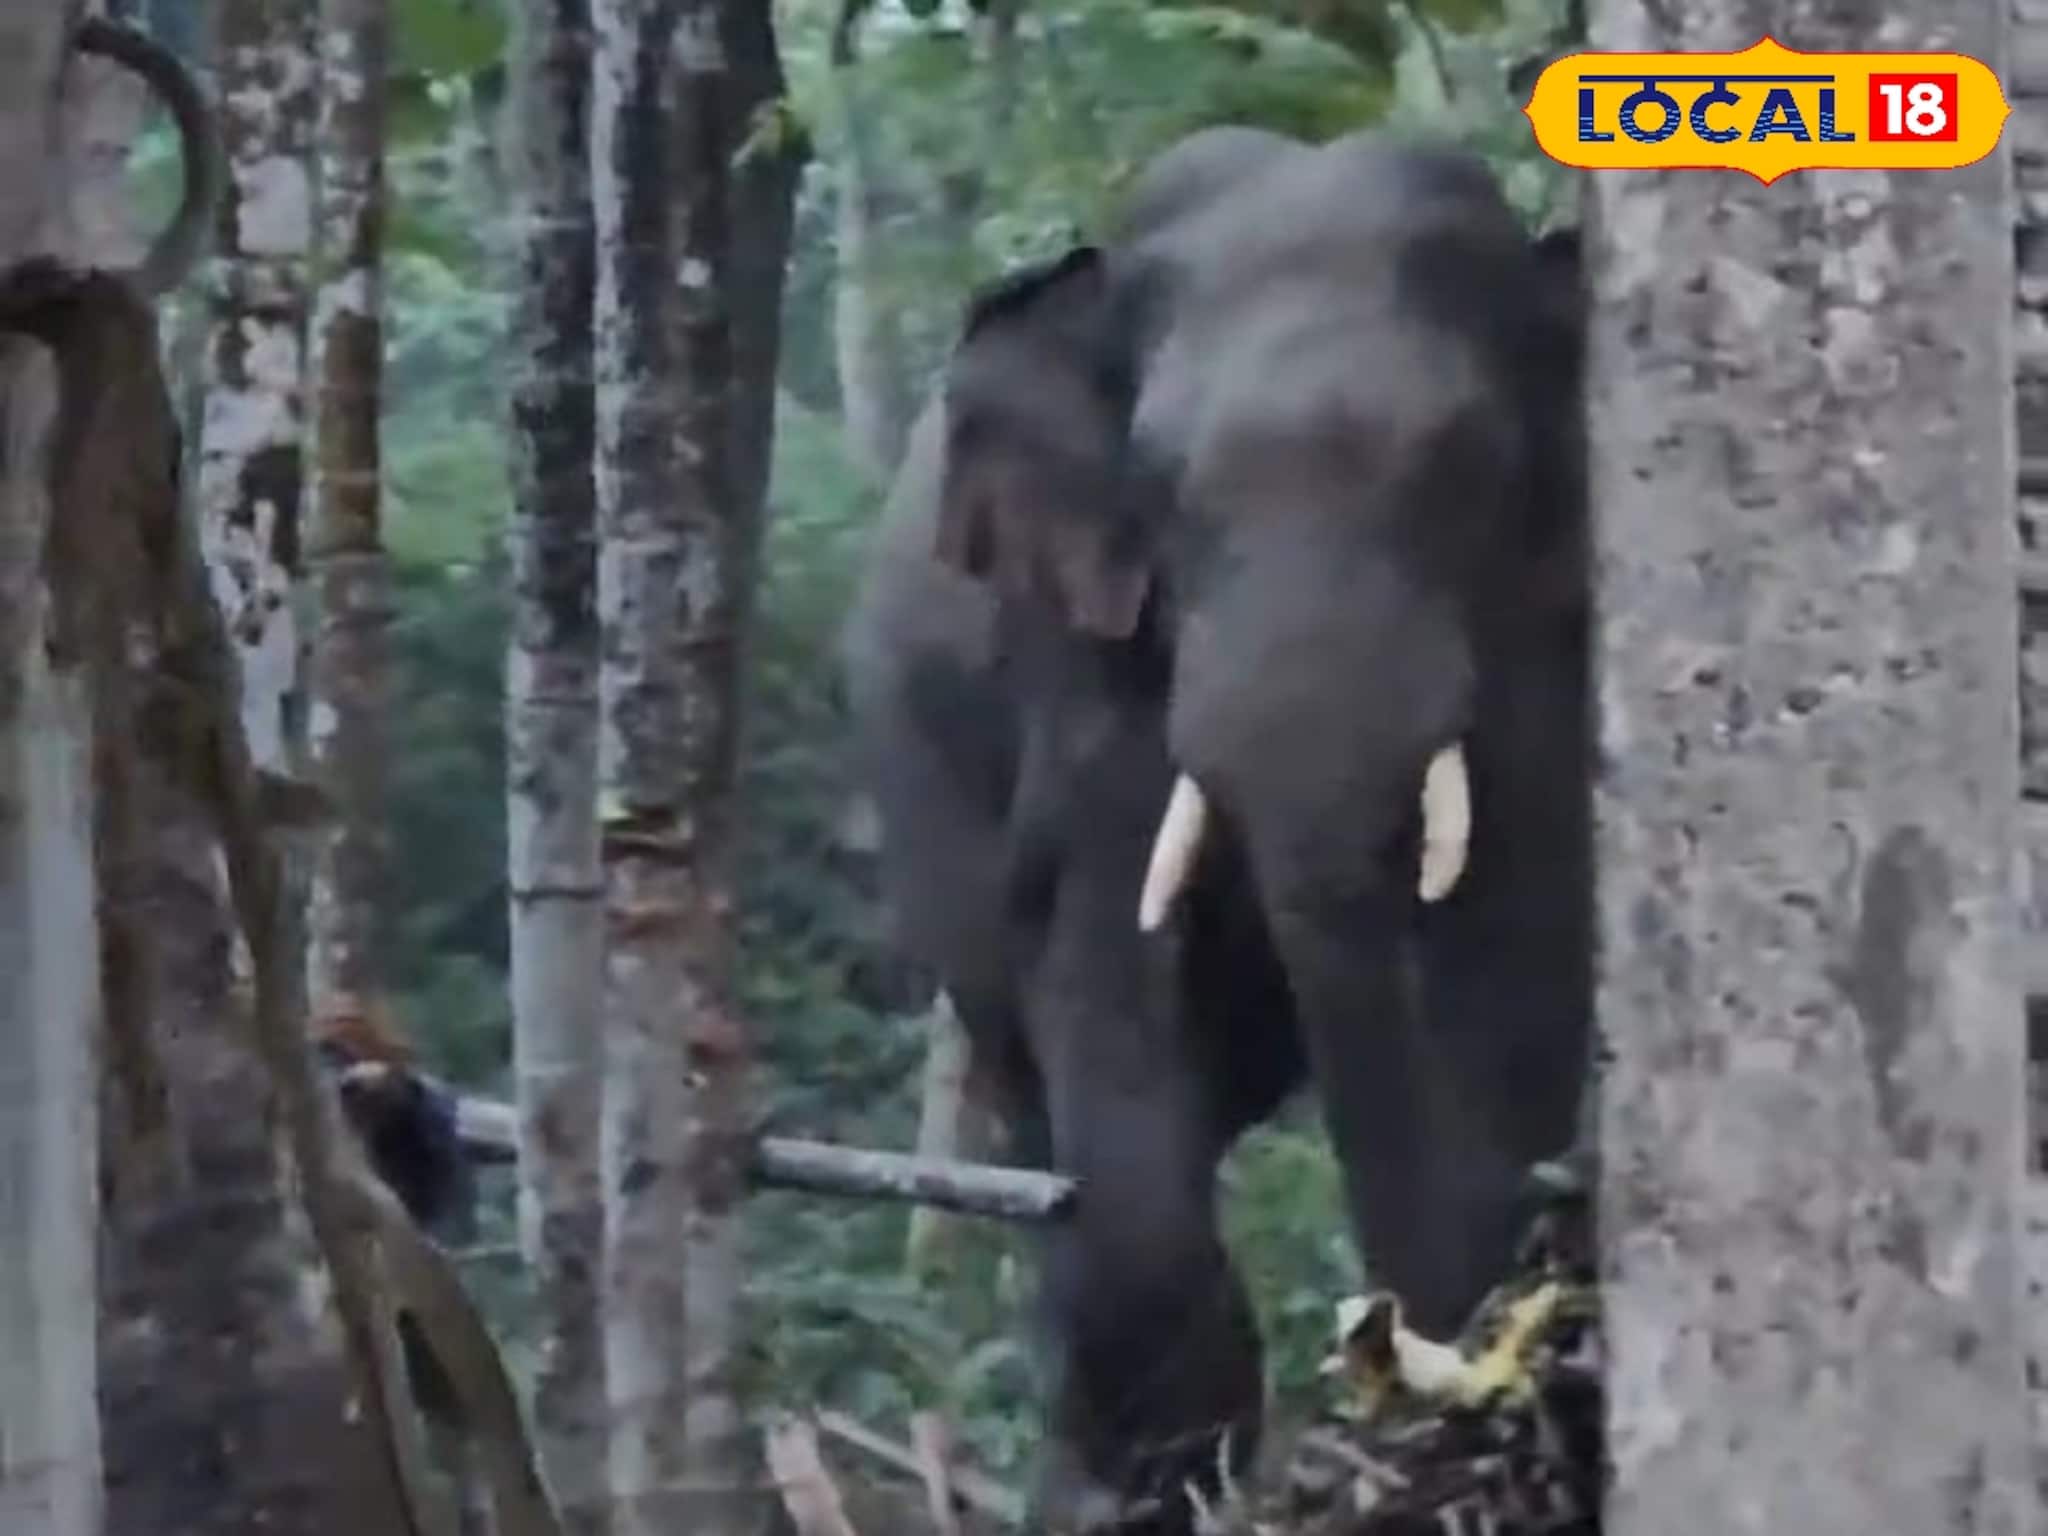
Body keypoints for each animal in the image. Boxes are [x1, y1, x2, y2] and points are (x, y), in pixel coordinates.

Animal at [842, 124, 1590, 1533]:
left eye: (1468, 467)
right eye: (1160, 488)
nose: (1390, 1341)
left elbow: (1512, 945)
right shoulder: (1086, 659)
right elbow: (1102, 955)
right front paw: (1160, 1481)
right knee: (1036, 1121)